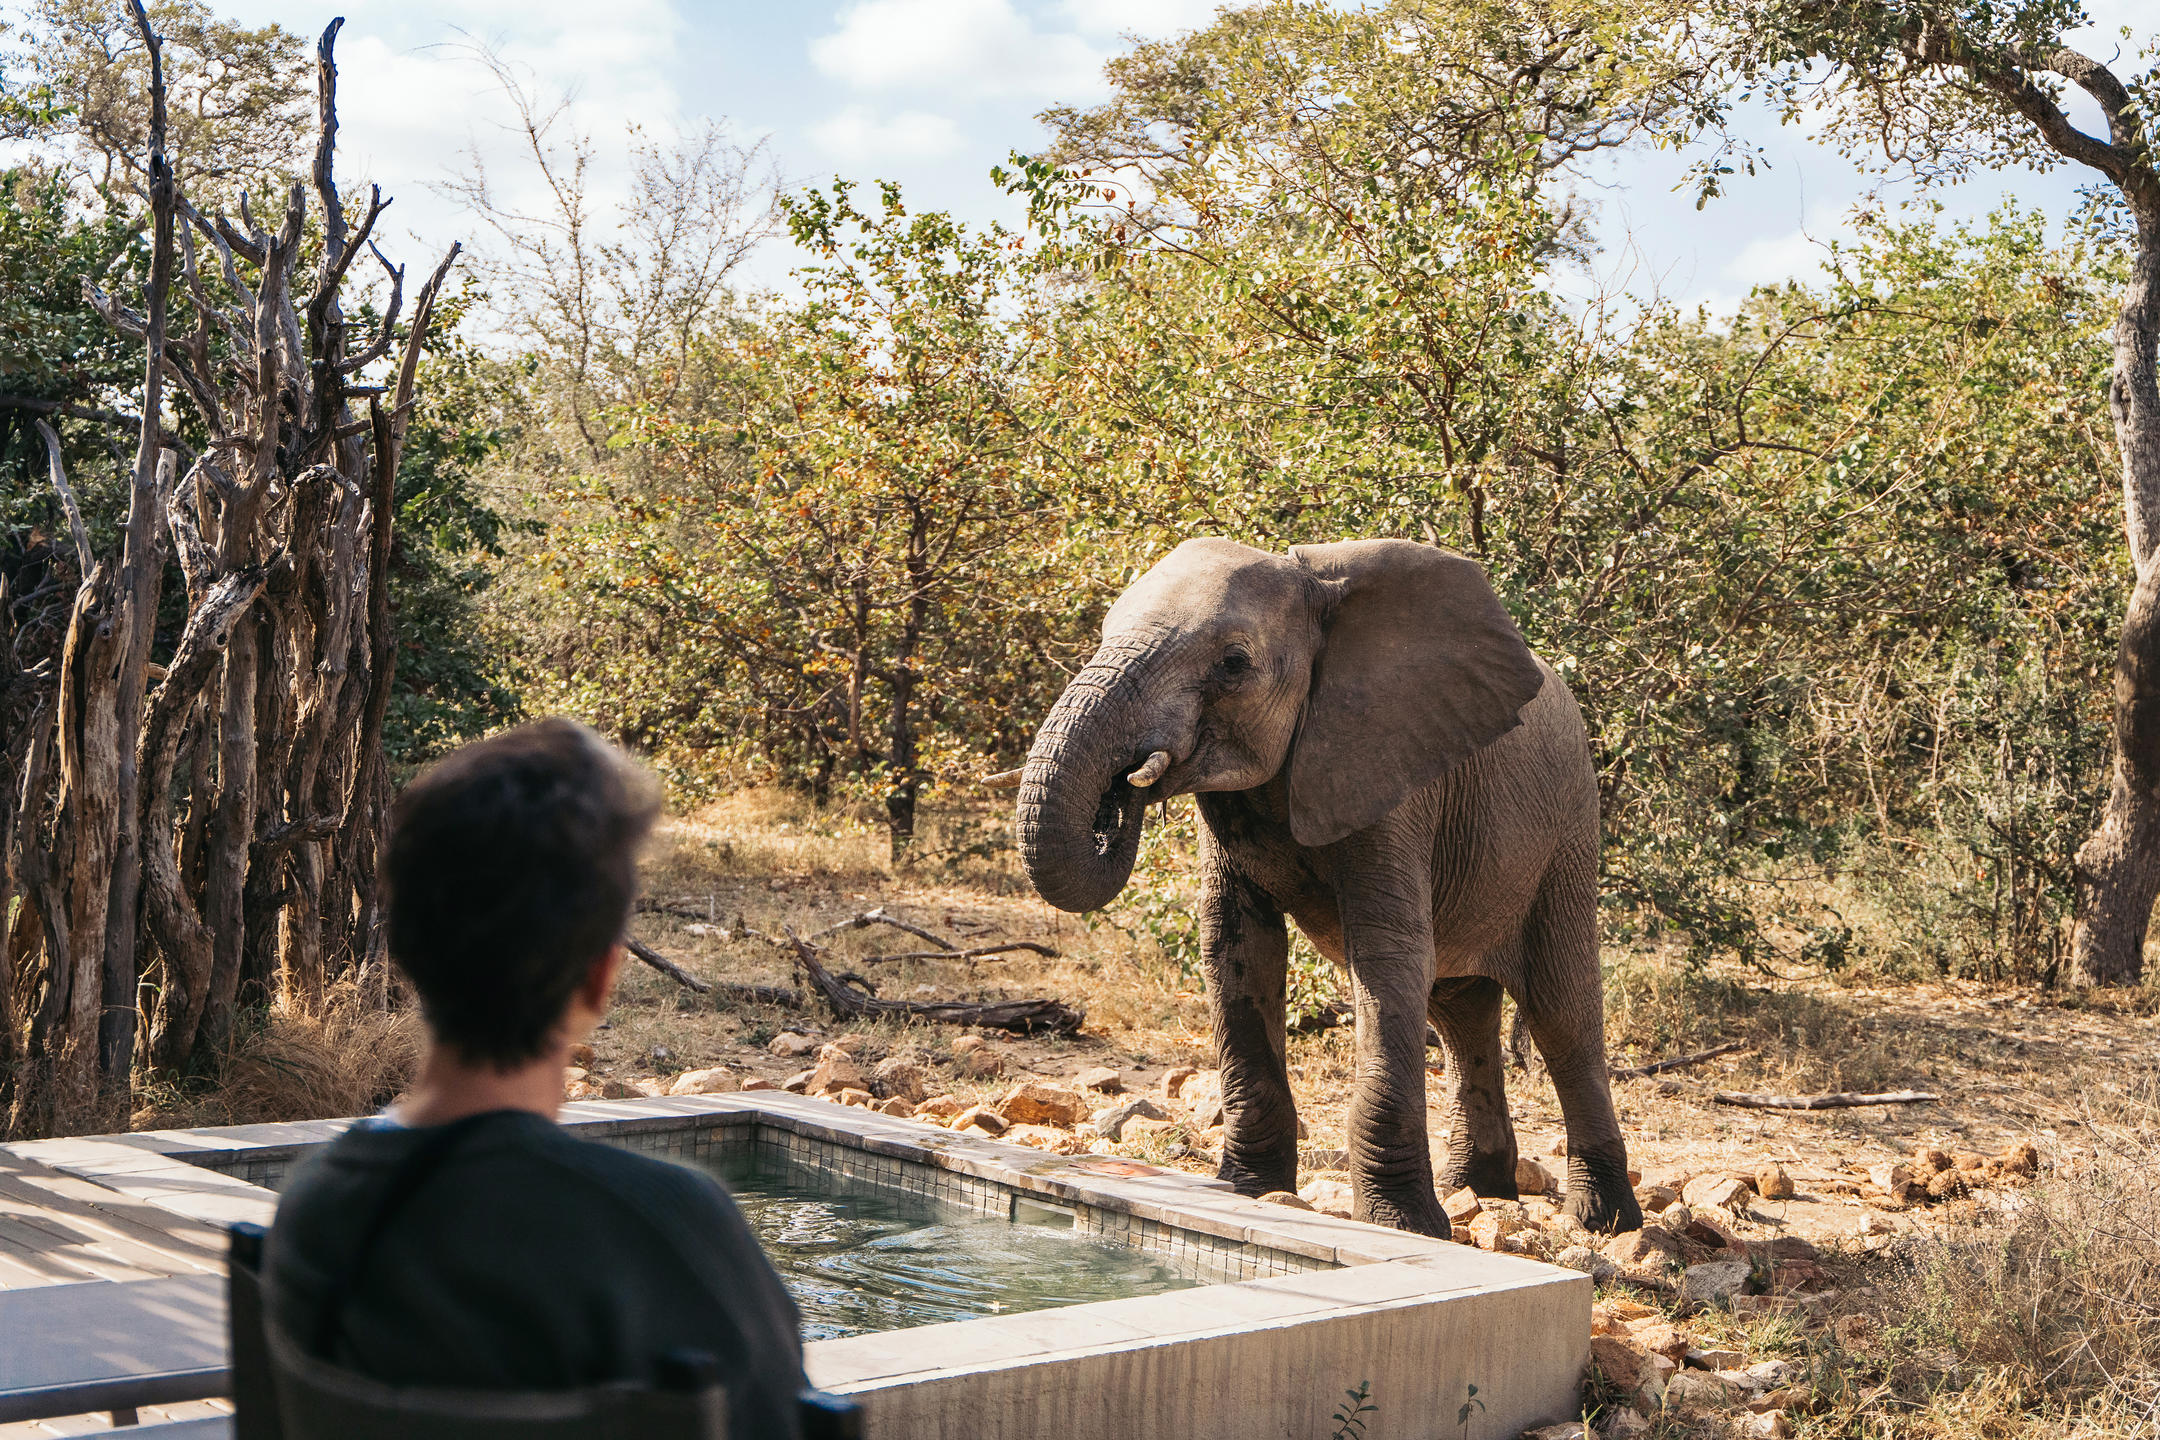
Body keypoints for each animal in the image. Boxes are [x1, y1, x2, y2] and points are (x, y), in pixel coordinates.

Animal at [1010, 535, 1632, 1234]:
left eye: (1233, 664)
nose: (1122, 790)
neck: (1316, 588)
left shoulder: (1392, 772)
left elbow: (1388, 956)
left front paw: (1401, 1225)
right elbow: (1236, 947)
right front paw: (1248, 1191)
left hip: (1568, 834)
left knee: (1561, 1010)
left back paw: (1604, 1221)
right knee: (1458, 1009)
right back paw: (1479, 1190)